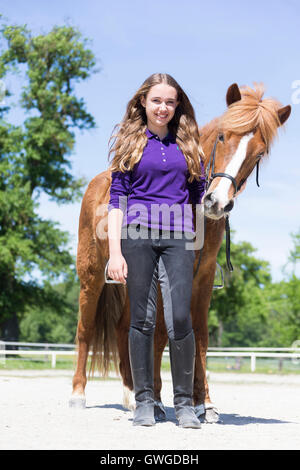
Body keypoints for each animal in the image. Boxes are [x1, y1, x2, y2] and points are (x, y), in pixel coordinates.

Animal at [69, 83, 290, 422]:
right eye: (223, 136)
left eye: (259, 153)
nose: (217, 202)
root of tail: (99, 183)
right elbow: (161, 334)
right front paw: (160, 401)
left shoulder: (202, 278)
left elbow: (198, 334)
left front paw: (204, 404)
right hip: (91, 277)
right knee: (86, 328)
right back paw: (79, 395)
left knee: (124, 329)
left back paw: (131, 394)